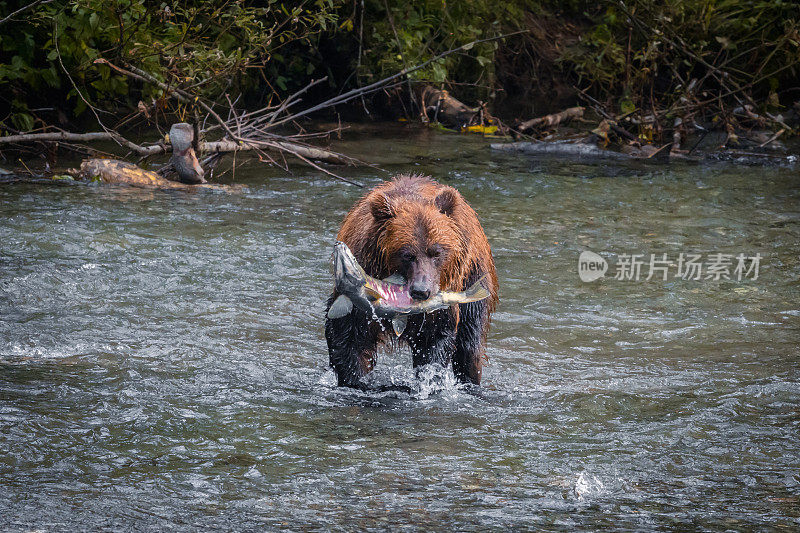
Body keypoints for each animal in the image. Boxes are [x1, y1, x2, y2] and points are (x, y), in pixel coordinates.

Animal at [326, 175, 500, 386]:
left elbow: (435, 339)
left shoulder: (441, 301)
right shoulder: (359, 298)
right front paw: (355, 378)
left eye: (437, 252)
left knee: (470, 344)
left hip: (474, 276)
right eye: (407, 255)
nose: (421, 290)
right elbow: (349, 338)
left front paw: (428, 378)